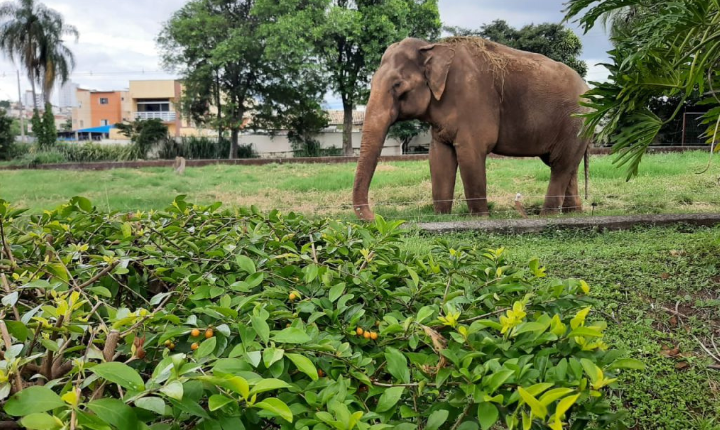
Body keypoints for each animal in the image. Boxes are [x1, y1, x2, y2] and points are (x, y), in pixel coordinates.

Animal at [352, 37, 591, 221]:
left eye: (398, 85)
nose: (377, 217)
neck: (433, 47)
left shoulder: (472, 100)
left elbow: (470, 155)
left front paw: (480, 218)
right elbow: (439, 158)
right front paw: (441, 217)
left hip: (575, 122)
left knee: (560, 165)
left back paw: (547, 216)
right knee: (566, 165)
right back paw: (572, 213)